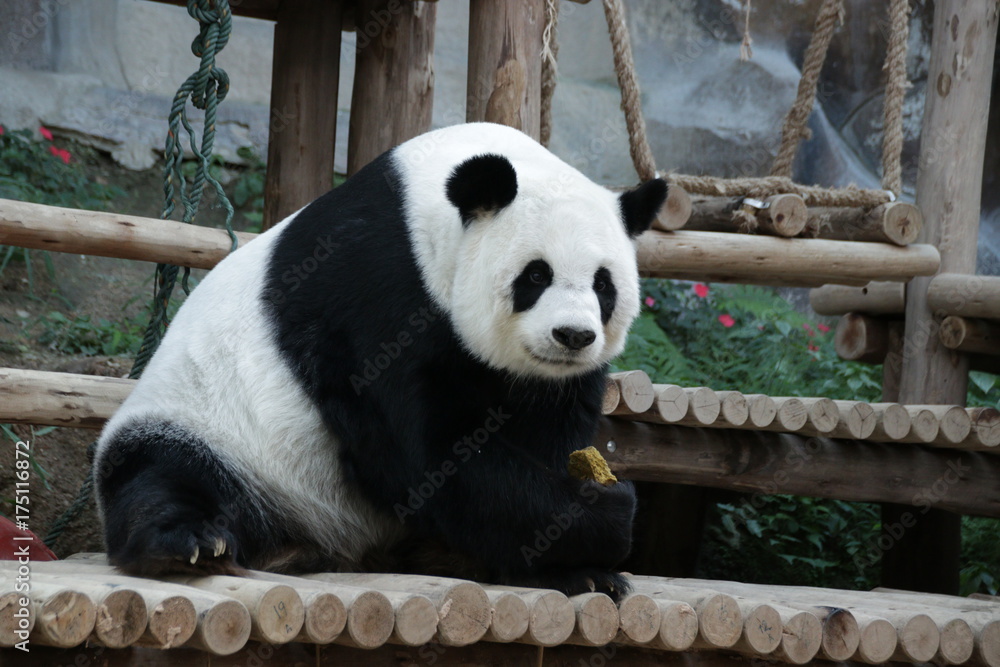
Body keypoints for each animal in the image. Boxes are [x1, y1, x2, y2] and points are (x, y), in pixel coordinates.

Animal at [93, 122, 667, 600]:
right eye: (536, 275)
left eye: (603, 284)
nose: (573, 336)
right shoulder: (376, 292)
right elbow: (423, 454)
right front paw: (611, 515)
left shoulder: (548, 380)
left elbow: (545, 437)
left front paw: (576, 566)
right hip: (215, 428)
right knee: (162, 474)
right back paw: (189, 544)